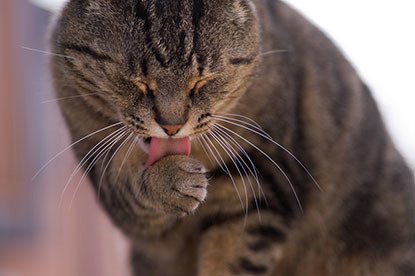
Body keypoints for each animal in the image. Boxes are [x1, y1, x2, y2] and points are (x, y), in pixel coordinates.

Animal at [49, 0, 415, 274]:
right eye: (139, 82)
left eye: (203, 81)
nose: (171, 126)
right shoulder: (103, 173)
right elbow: (129, 188)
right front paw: (168, 181)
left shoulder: (261, 185)